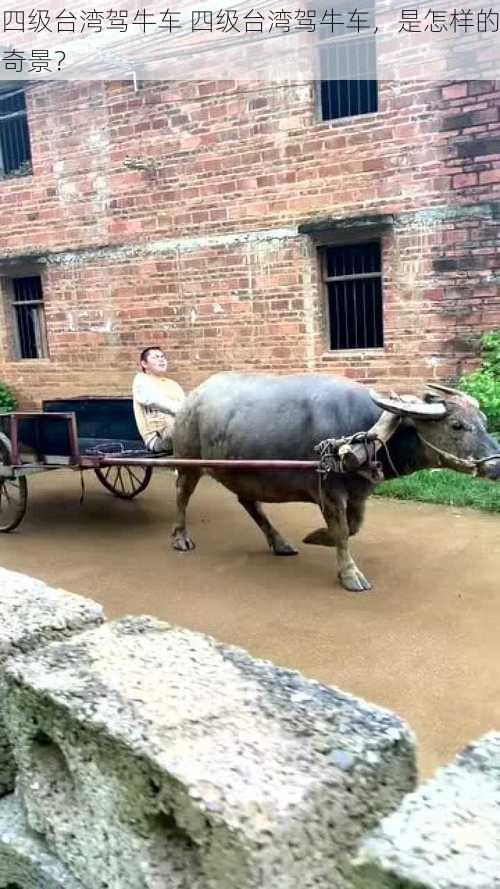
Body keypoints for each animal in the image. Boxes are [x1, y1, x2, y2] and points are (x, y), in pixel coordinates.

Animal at [171, 372, 500, 592]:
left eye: (484, 422)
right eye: (456, 425)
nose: (496, 465)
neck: (364, 436)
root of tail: (191, 400)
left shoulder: (358, 494)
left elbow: (352, 527)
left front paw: (317, 536)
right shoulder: (328, 492)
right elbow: (342, 532)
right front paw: (349, 575)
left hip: (244, 471)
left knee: (250, 502)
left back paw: (280, 542)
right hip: (188, 463)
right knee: (182, 495)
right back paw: (181, 537)